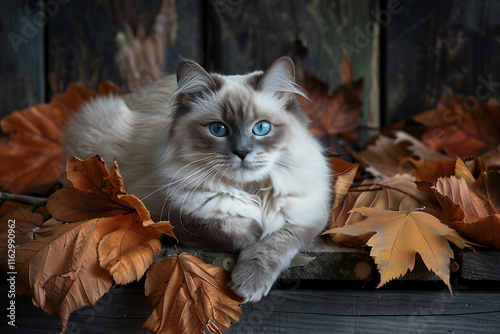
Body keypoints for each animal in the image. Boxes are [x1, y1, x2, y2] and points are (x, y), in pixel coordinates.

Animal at [66, 56, 332, 302]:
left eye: (261, 128)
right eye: (218, 130)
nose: (242, 152)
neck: (250, 190)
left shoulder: (305, 218)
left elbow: (274, 243)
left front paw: (249, 283)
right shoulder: (161, 213)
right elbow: (229, 231)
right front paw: (250, 235)